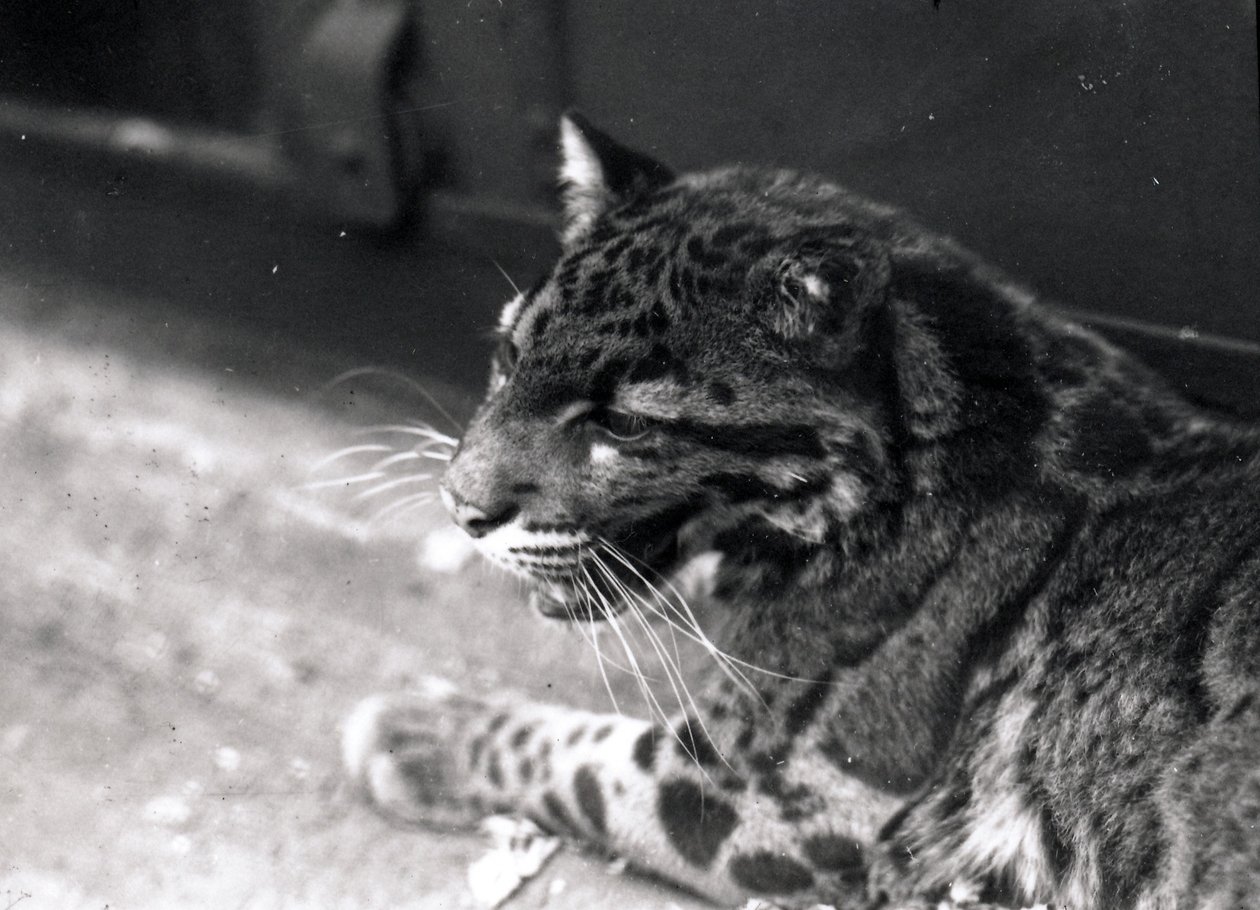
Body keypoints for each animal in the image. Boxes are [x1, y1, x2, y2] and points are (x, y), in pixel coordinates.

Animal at [342, 115, 1260, 907]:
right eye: (508, 355)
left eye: (625, 424)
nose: (459, 507)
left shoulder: (804, 794)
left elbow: (582, 755)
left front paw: (423, 730)